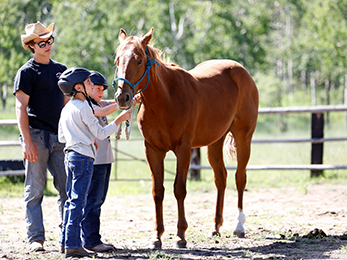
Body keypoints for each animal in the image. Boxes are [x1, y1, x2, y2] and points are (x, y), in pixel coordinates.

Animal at [113, 27, 258, 249]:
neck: (165, 100)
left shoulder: (183, 149)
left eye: (138, 60)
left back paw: (239, 226)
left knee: (239, 178)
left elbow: (179, 188)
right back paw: (215, 227)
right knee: (221, 178)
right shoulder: (152, 150)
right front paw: (157, 236)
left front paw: (181, 235)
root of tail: (241, 70)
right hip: (215, 142)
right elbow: (158, 191)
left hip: (243, 137)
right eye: (117, 60)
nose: (122, 97)